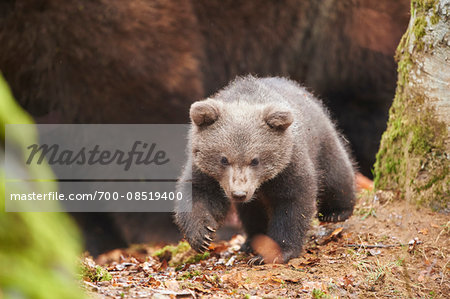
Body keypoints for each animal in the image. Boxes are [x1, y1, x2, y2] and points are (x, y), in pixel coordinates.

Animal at [175, 77, 356, 264]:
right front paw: (202, 235)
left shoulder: (289, 165)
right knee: (252, 213)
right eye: (224, 159)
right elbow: (198, 192)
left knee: (336, 174)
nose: (239, 194)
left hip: (321, 141)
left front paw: (274, 253)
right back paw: (251, 242)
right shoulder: (204, 170)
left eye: (255, 160)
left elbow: (292, 205)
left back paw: (337, 212)